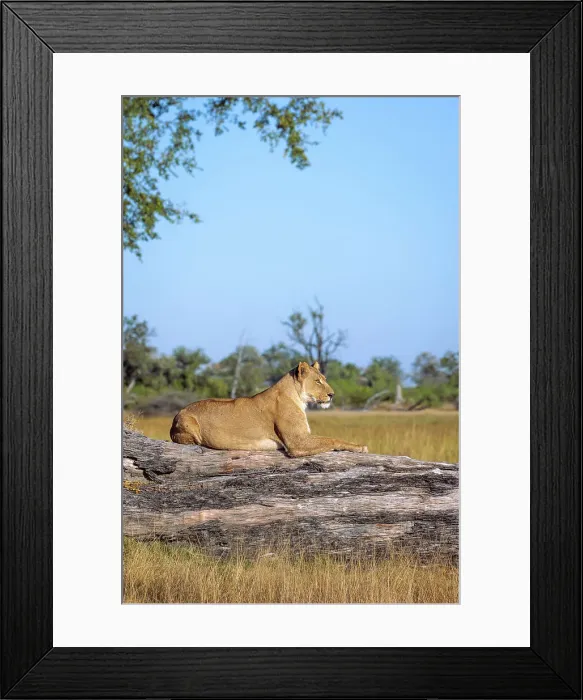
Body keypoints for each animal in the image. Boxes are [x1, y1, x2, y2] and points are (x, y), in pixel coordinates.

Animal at [170, 361, 368, 458]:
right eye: (318, 381)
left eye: (324, 379)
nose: (332, 395)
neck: (297, 396)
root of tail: (176, 414)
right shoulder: (297, 442)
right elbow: (332, 440)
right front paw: (360, 447)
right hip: (189, 424)